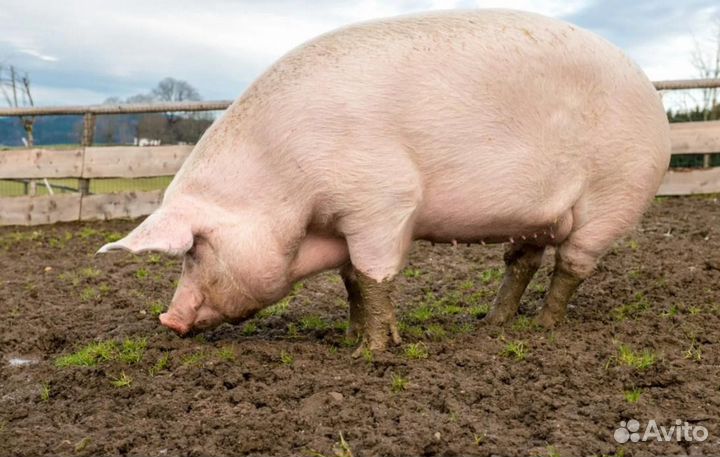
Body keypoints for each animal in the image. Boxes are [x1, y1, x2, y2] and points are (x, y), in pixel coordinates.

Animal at [98, 9, 670, 354]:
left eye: (194, 249)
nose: (167, 320)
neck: (281, 183)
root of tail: (651, 90)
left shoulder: (383, 199)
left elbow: (376, 275)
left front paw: (370, 352)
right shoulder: (340, 222)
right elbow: (352, 278)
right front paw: (350, 336)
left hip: (617, 195)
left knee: (573, 264)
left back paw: (543, 328)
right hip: (538, 214)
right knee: (522, 260)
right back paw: (491, 325)